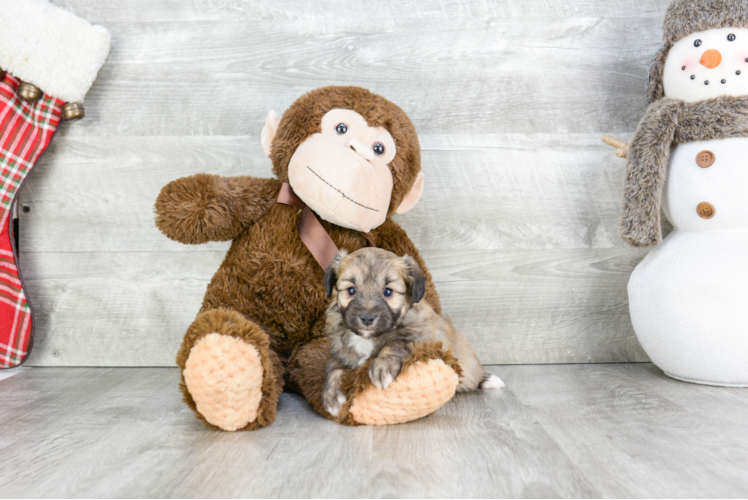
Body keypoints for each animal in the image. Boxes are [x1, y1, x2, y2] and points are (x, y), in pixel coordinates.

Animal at [322, 248, 502, 416]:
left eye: (388, 292)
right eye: (351, 290)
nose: (366, 318)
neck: (368, 339)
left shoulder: (426, 340)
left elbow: (397, 343)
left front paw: (382, 367)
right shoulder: (341, 352)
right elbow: (332, 366)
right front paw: (332, 394)